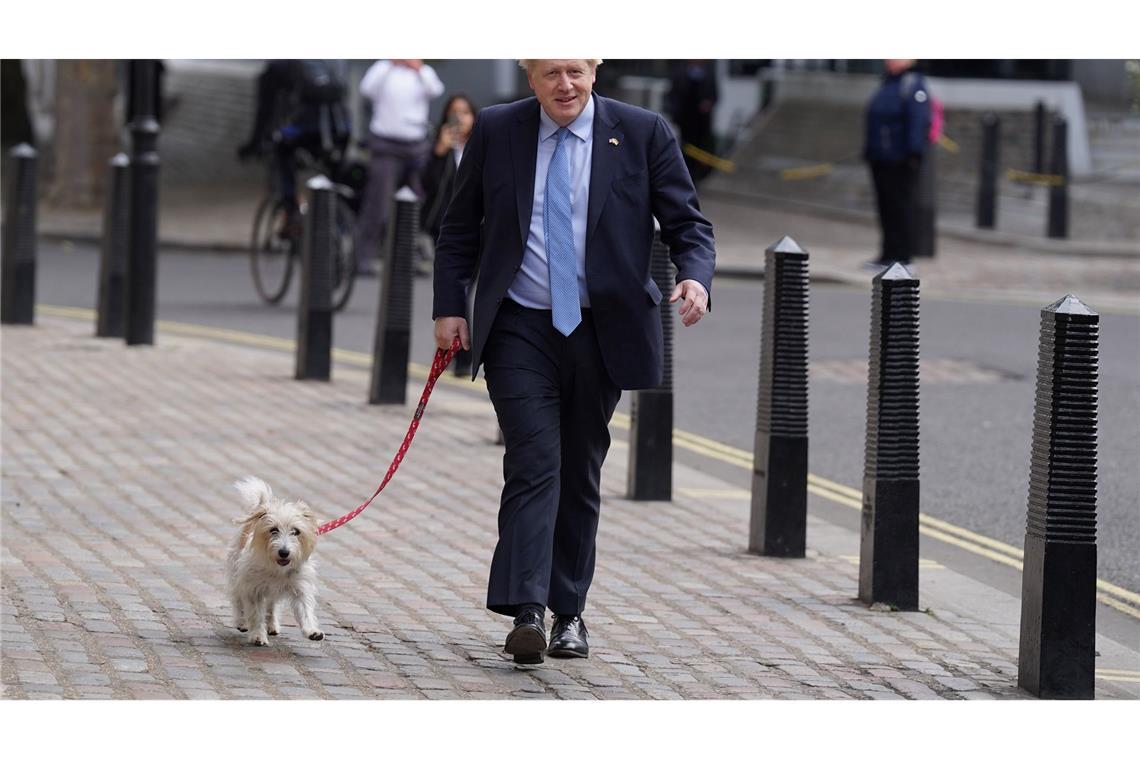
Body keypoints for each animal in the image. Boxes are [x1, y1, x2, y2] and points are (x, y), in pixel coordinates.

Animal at [226, 478, 323, 647]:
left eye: (296, 531)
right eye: (273, 530)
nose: (284, 552)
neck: (277, 568)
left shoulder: (300, 587)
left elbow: (305, 609)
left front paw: (312, 631)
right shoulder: (253, 589)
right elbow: (256, 614)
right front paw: (258, 635)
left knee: (272, 606)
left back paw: (272, 625)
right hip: (236, 573)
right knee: (238, 600)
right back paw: (241, 622)